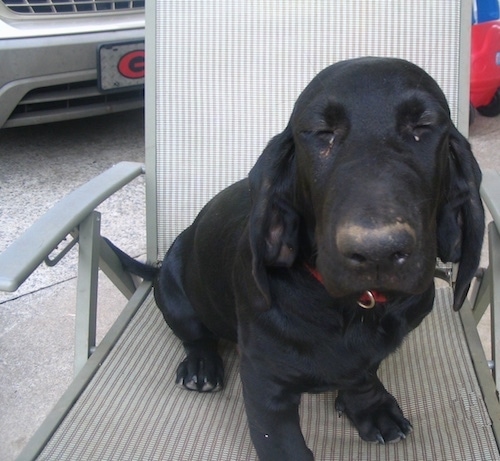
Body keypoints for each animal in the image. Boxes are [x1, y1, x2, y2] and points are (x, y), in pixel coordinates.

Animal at [112, 58, 484, 460]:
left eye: (423, 126)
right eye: (322, 133)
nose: (377, 251)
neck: (354, 309)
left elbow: (364, 373)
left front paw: (370, 407)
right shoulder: (265, 383)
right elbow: (285, 446)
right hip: (174, 293)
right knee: (193, 333)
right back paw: (201, 365)